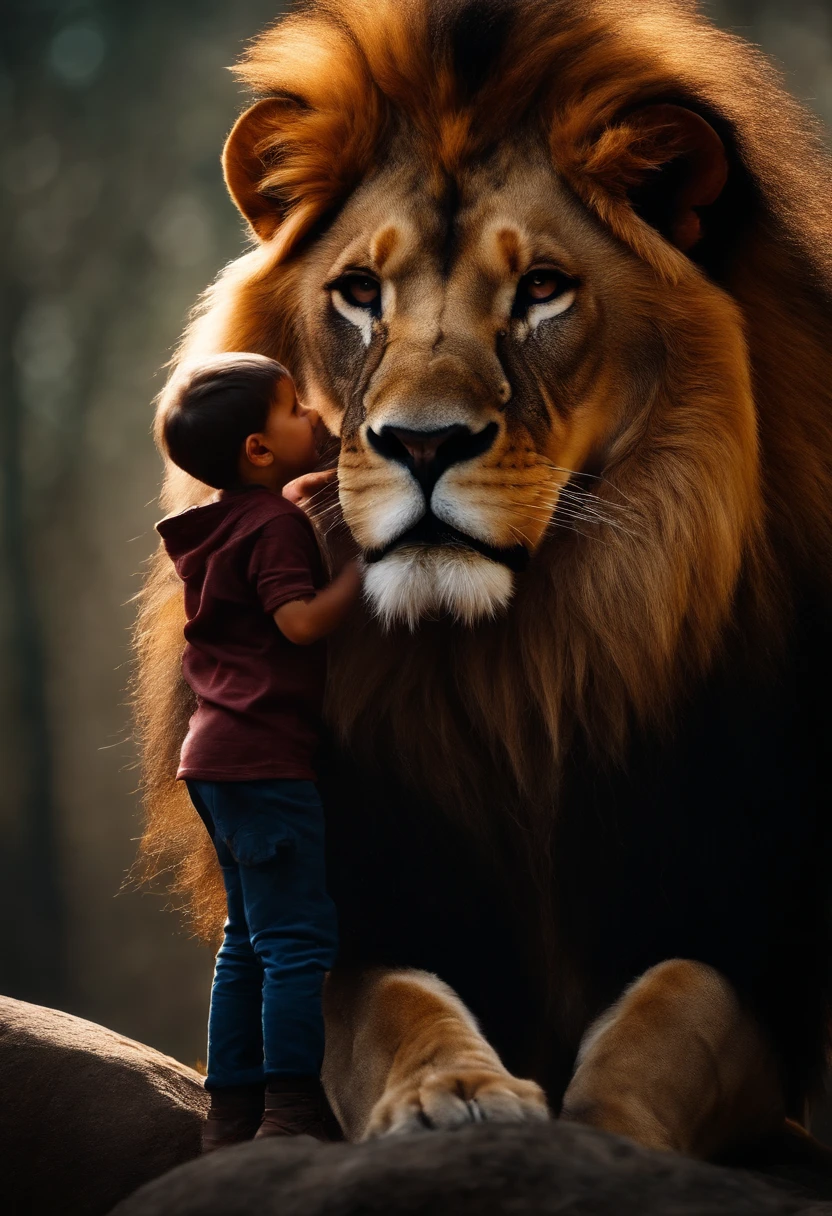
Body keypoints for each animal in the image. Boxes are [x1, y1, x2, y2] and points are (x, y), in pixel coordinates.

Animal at [133, 0, 832, 1157]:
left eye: (542, 289)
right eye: (359, 294)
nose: (423, 444)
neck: (512, 675)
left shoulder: (751, 931)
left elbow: (672, 1005)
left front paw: (604, 1133)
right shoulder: (356, 894)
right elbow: (387, 999)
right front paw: (453, 1092)